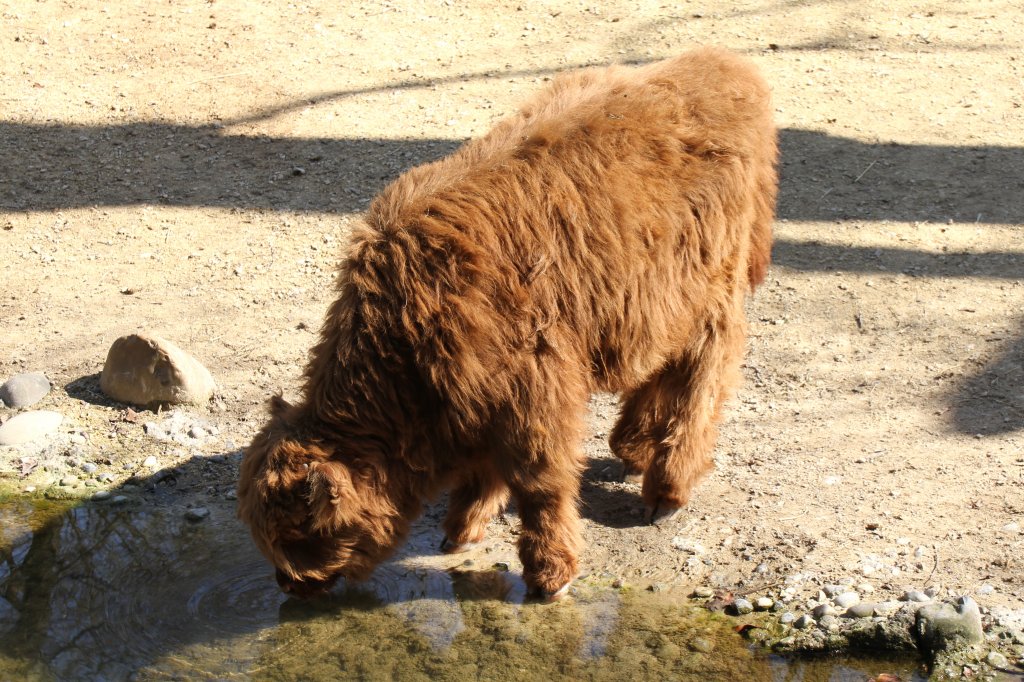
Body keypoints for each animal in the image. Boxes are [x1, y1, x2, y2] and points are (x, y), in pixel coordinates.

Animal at [237, 47, 774, 598]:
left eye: (301, 531)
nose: (286, 584)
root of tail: (721, 67)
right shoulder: (480, 398)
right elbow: (483, 470)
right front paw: (461, 531)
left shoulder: (534, 387)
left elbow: (540, 483)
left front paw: (549, 575)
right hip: (657, 305)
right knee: (656, 368)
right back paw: (631, 448)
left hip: (714, 295)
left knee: (701, 379)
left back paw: (666, 491)